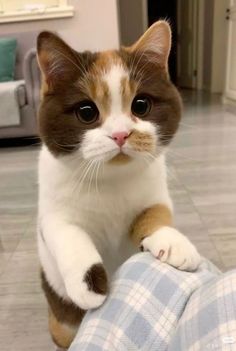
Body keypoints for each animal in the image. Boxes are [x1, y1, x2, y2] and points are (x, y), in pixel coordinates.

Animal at [37, 20, 201, 348]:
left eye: (141, 105)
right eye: (87, 112)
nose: (121, 135)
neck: (109, 179)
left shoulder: (155, 191)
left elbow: (156, 213)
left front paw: (171, 240)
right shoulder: (52, 212)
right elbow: (67, 233)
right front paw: (89, 282)